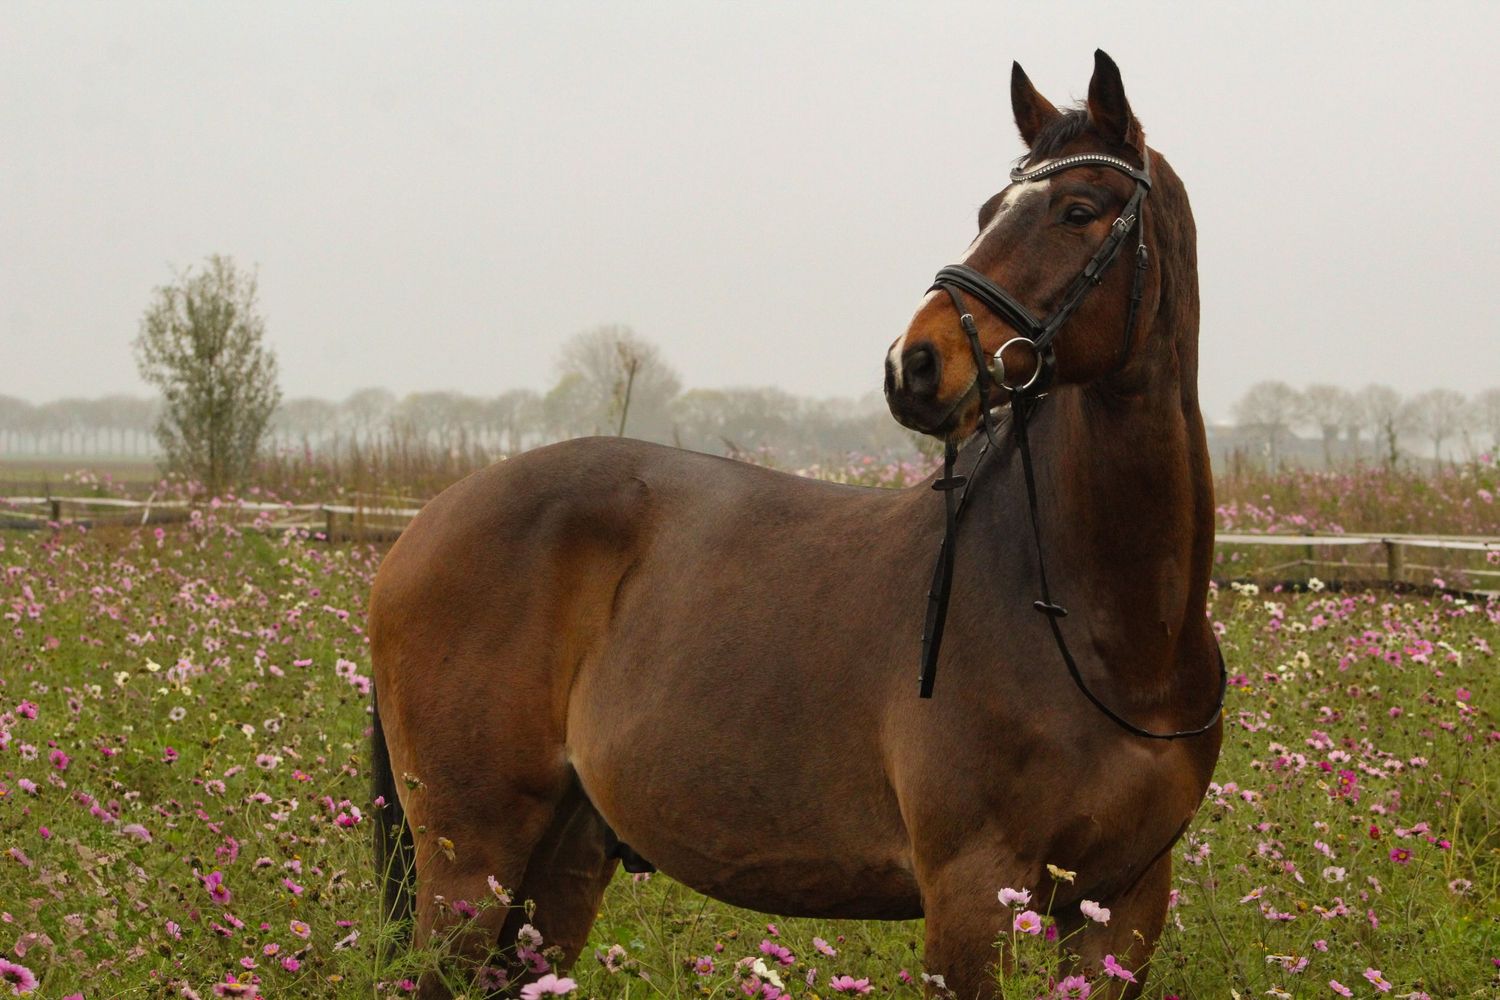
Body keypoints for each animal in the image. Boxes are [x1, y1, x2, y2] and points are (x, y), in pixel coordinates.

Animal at [369, 50, 1223, 999]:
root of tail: (427, 523)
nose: (914, 363)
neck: (1110, 633)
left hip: (557, 866)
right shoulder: (971, 897)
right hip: (470, 863)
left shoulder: (1125, 904)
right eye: (987, 212)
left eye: (1077, 210)